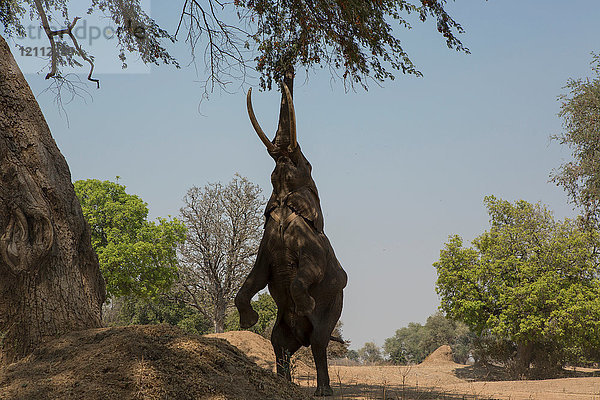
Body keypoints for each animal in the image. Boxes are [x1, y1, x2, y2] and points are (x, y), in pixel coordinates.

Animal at [234, 82, 346, 396]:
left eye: (306, 163)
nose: (282, 152)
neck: (286, 205)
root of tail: (301, 337)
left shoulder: (313, 248)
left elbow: (305, 274)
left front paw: (306, 305)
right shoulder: (266, 243)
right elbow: (255, 277)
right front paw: (249, 322)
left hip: (332, 309)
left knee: (319, 343)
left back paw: (322, 392)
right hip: (282, 328)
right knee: (279, 344)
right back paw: (283, 383)